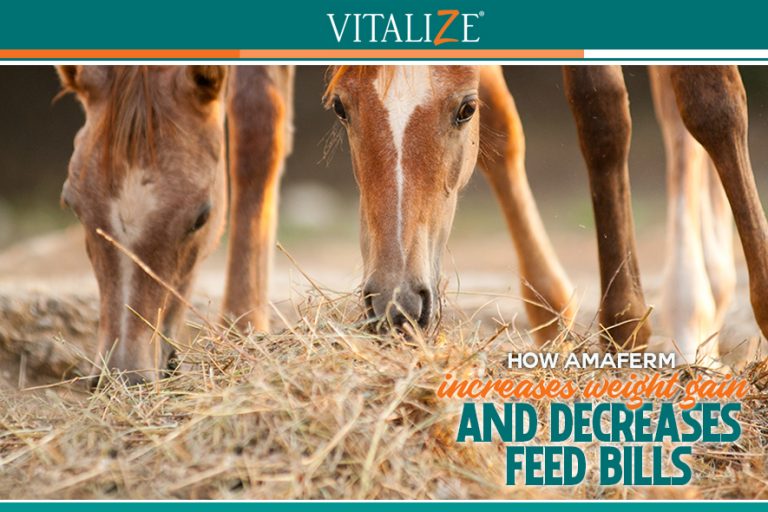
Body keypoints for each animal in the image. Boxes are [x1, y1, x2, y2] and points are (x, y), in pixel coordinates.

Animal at [327, 65, 768, 363]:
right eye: (340, 107)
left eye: (466, 109)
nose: (396, 304)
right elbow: (569, 114)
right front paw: (599, 325)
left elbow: (709, 103)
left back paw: (692, 307)